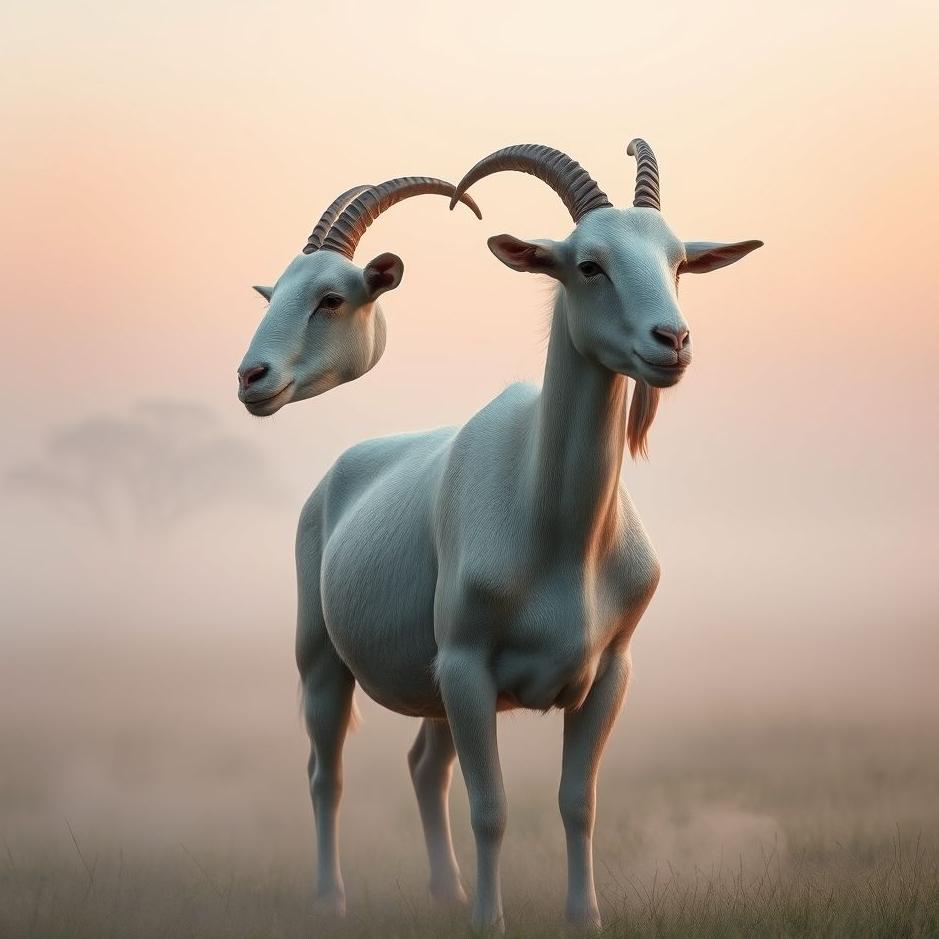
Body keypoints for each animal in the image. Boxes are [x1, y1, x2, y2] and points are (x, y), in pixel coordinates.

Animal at [243, 141, 761, 931]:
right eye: (589, 264)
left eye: (675, 263)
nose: (670, 342)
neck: (560, 535)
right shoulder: (467, 668)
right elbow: (490, 807)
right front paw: (490, 921)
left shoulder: (608, 675)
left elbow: (579, 803)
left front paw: (583, 917)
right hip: (324, 662)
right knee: (325, 773)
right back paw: (332, 898)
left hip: (432, 689)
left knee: (424, 766)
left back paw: (444, 890)